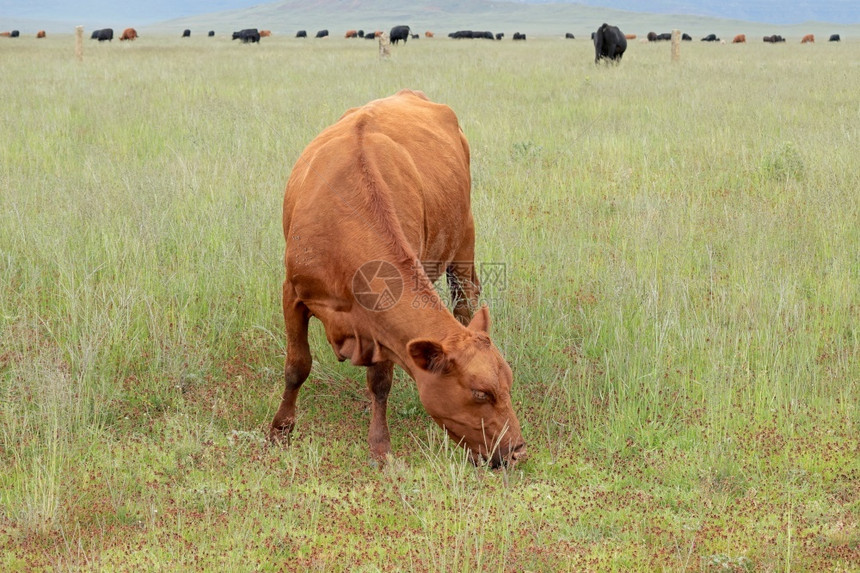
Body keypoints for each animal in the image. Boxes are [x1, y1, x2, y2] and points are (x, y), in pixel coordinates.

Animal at [270, 88, 524, 464]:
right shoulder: (293, 291)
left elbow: (380, 381)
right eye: (480, 393)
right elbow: (297, 366)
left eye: (508, 382)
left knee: (465, 300)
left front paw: (379, 446)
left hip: (464, 234)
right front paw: (280, 429)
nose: (518, 451)